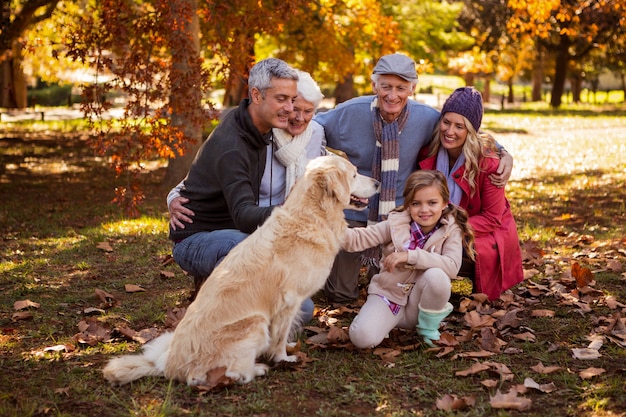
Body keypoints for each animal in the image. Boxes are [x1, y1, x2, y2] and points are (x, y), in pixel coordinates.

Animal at [103, 154, 376, 386]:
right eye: (354, 174)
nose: (377, 182)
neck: (312, 215)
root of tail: (169, 367)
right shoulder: (289, 301)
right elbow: (280, 337)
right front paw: (283, 358)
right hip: (255, 323)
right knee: (226, 374)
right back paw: (256, 369)